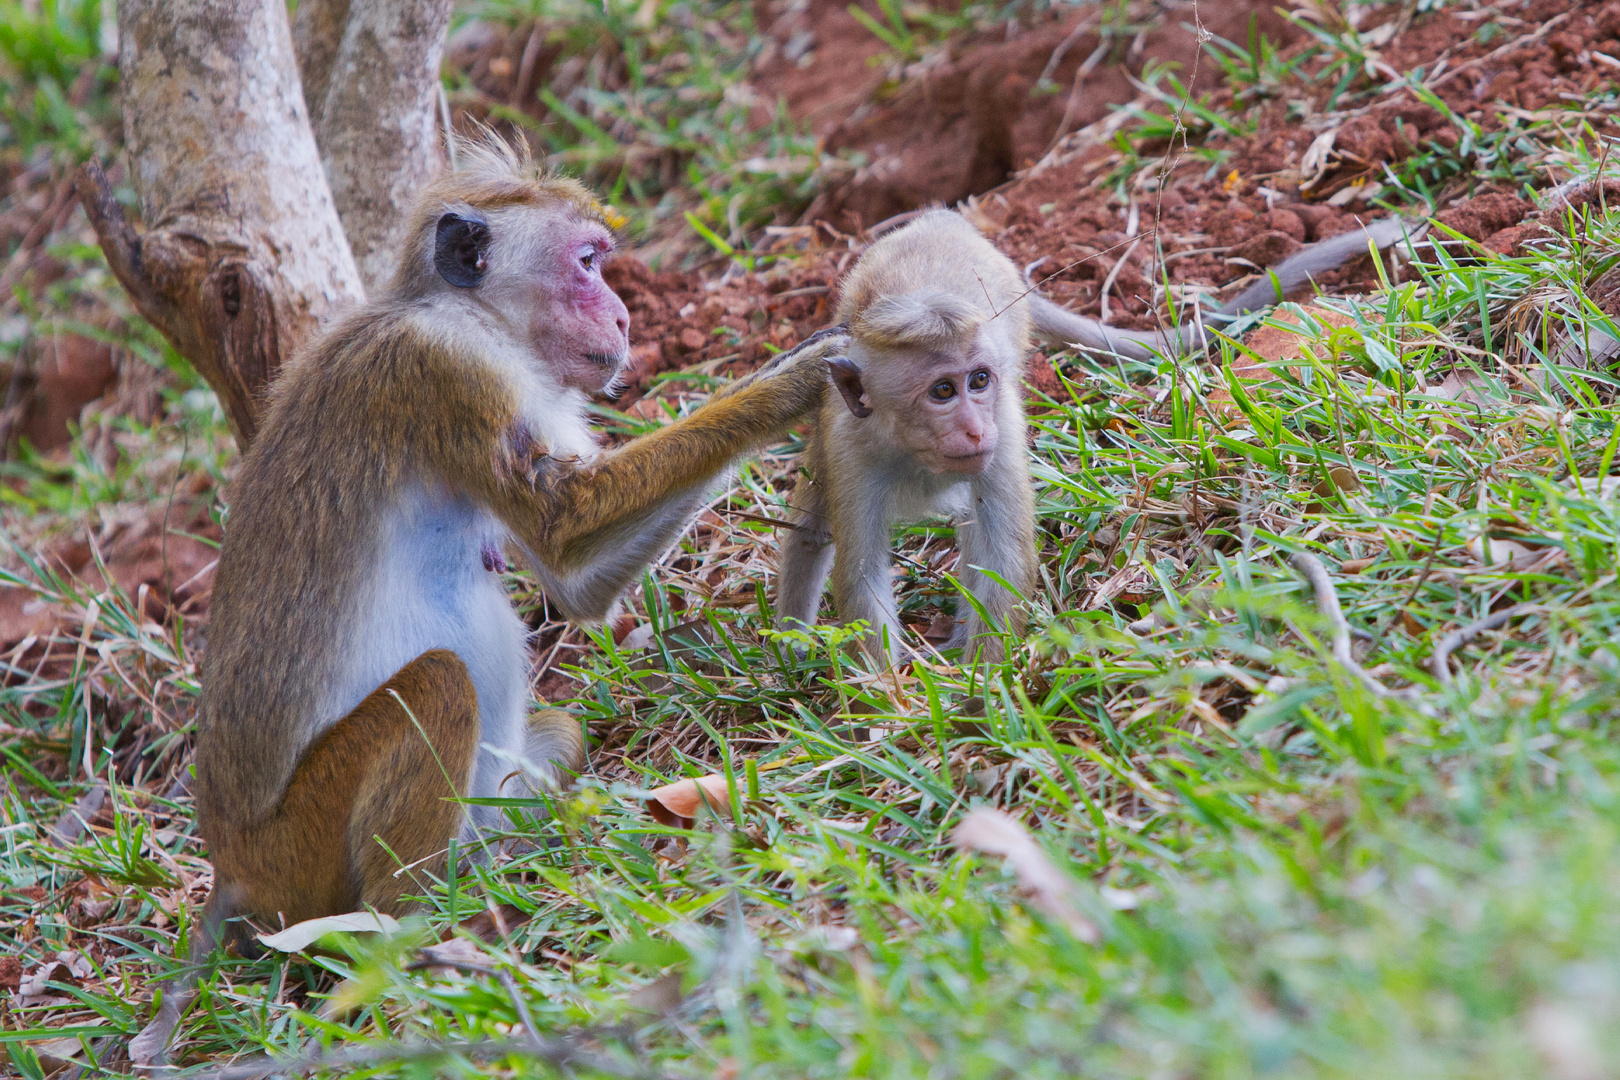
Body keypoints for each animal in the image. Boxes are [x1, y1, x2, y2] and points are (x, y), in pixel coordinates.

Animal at [191, 137, 842, 952]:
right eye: (588, 262)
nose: (623, 317)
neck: (470, 315)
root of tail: (235, 872)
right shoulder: (448, 370)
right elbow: (562, 527)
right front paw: (793, 382)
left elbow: (573, 581)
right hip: (300, 847)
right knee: (438, 683)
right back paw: (417, 918)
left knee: (553, 729)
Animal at [774, 208, 1030, 667]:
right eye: (942, 391)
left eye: (979, 380)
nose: (976, 429)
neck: (915, 452)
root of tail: (940, 220)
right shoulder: (849, 446)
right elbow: (863, 576)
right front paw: (887, 686)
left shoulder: (1003, 426)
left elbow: (1004, 562)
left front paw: (984, 679)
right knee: (810, 523)